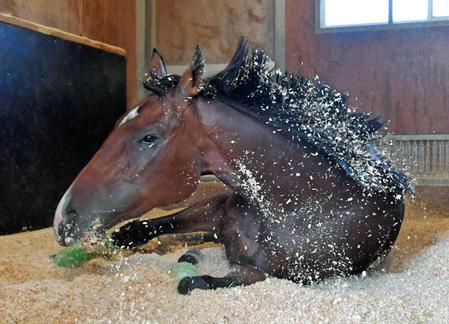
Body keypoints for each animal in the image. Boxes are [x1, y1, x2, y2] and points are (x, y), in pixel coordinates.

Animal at [53, 39, 410, 294]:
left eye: (148, 137)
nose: (62, 219)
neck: (303, 204)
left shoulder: (262, 274)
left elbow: (196, 281)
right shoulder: (216, 210)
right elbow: (141, 229)